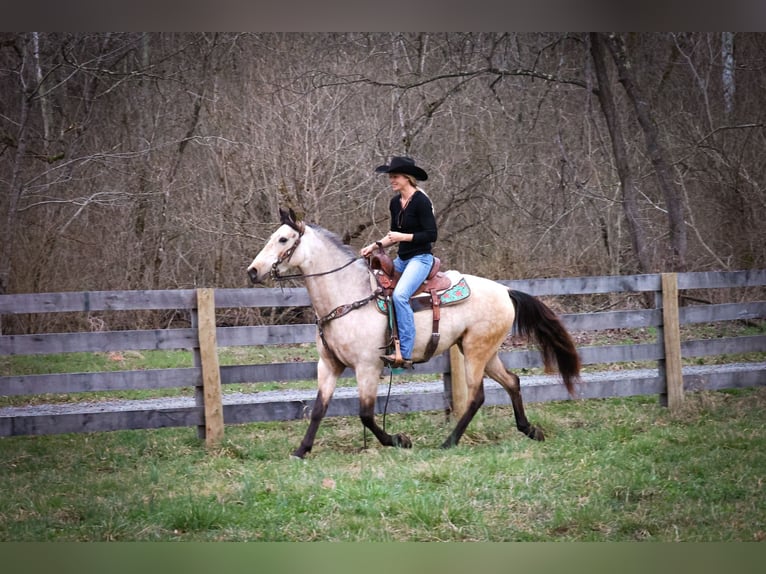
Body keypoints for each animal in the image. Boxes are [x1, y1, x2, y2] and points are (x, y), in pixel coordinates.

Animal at [248, 209, 584, 462]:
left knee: (477, 396)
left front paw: (400, 440)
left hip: (476, 351)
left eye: (283, 238)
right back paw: (530, 430)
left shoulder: (367, 366)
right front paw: (301, 450)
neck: (348, 296)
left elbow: (366, 414)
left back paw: (449, 442)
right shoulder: (329, 365)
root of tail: (505, 290)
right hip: (482, 351)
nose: (253, 271)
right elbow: (318, 409)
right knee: (512, 382)